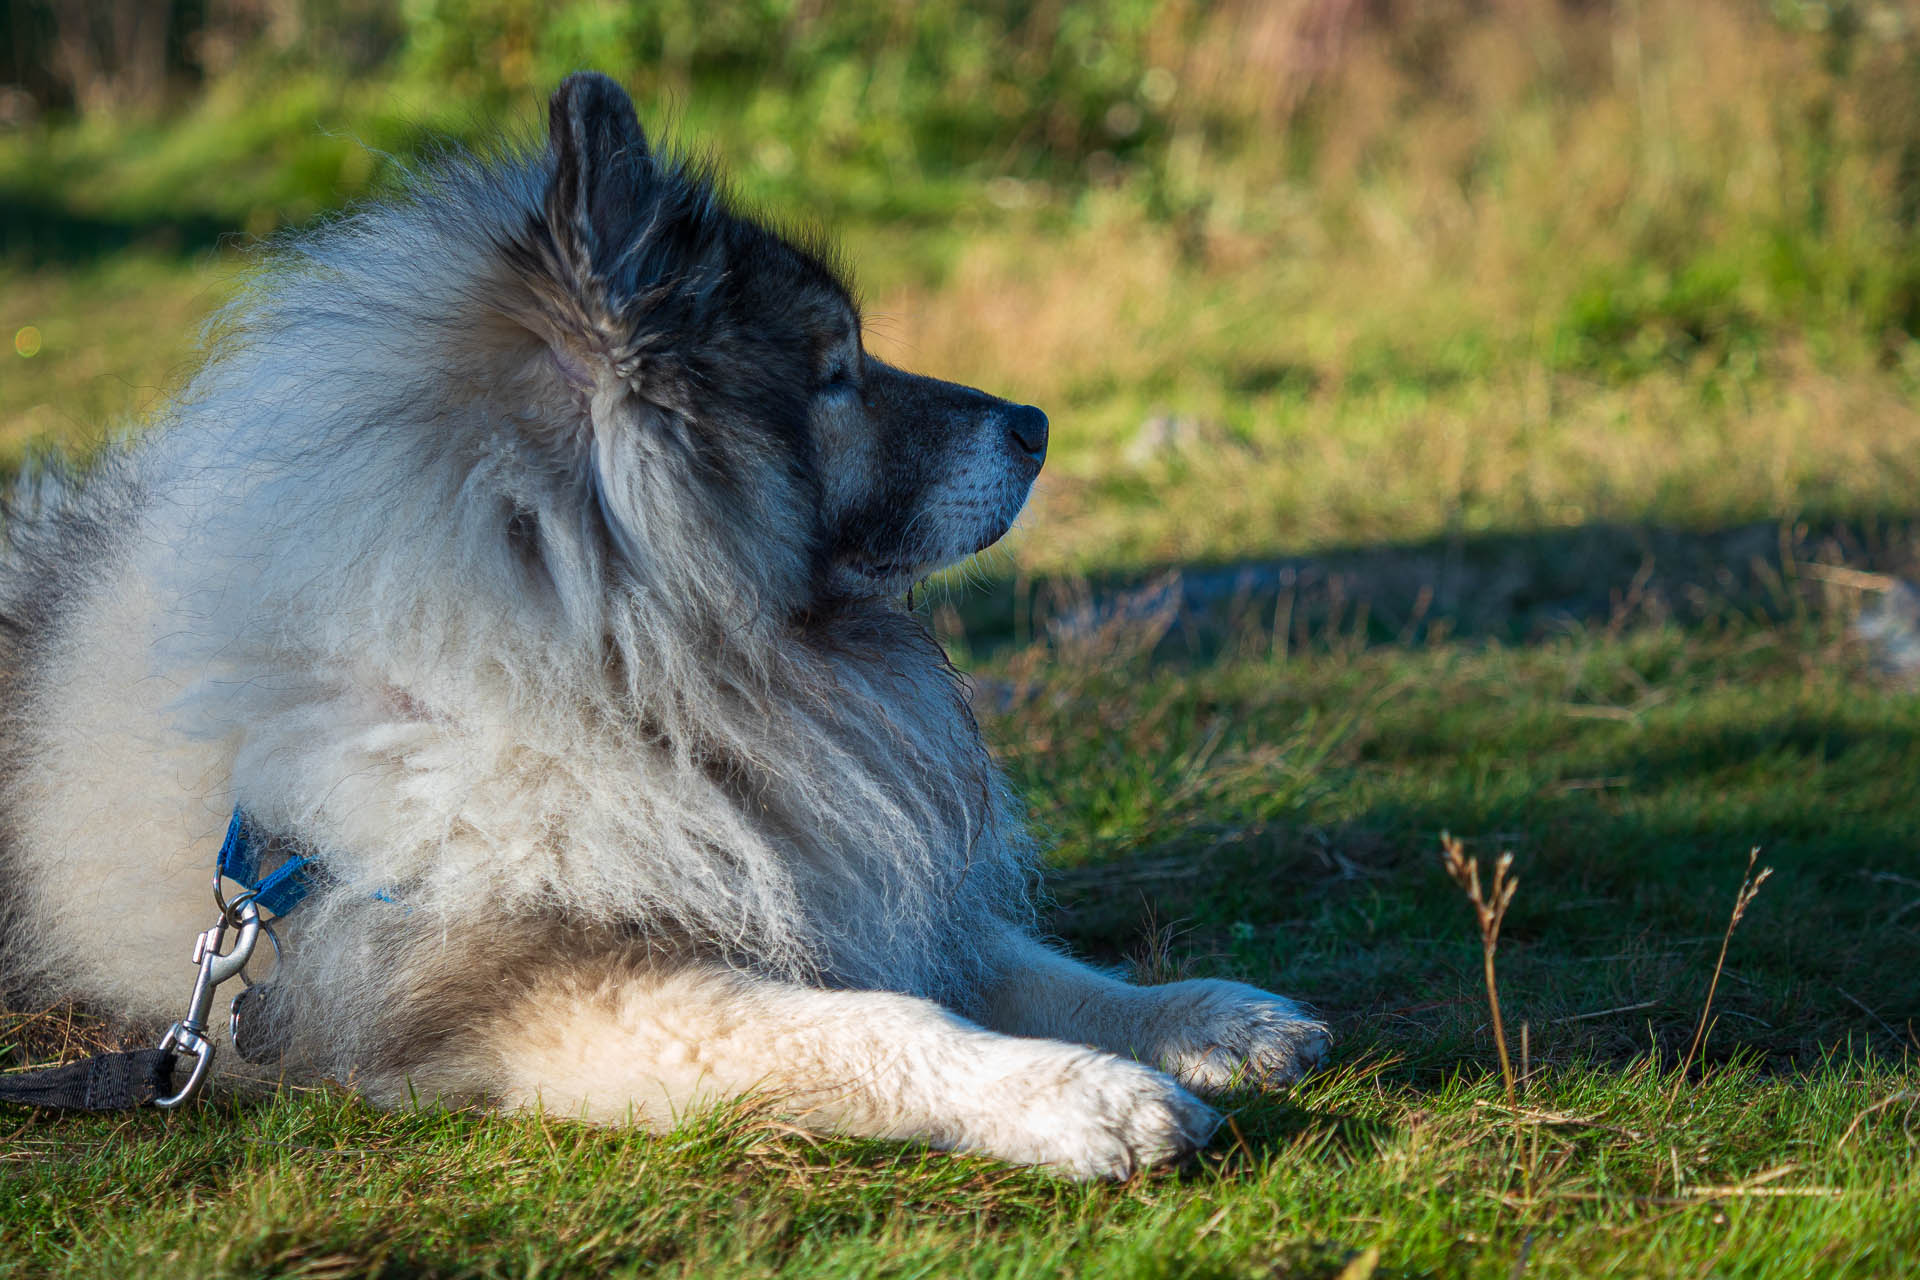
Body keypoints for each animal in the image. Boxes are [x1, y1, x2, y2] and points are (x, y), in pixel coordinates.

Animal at [0, 67, 1328, 1174]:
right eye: (836, 371)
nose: (1039, 425)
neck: (632, 674)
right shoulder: (562, 991)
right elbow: (876, 1023)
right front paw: (1083, 1096)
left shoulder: (824, 874)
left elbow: (1031, 963)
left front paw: (1210, 1017)